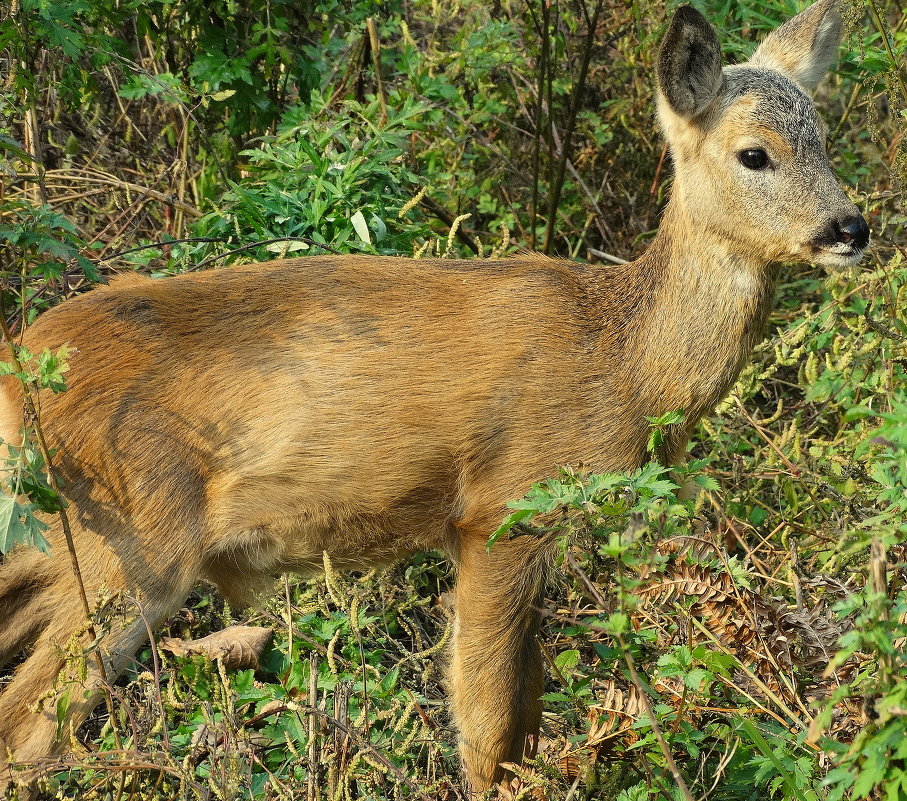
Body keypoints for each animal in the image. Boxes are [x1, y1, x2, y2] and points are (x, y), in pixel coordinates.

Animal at [0, 0, 864, 792]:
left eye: (824, 139)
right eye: (753, 153)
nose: (848, 227)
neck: (620, 355)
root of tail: (19, 374)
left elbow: (524, 716)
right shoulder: (499, 512)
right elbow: (484, 725)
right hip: (131, 544)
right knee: (30, 725)